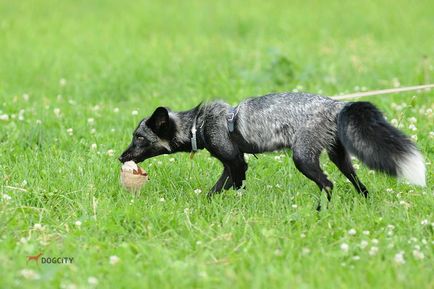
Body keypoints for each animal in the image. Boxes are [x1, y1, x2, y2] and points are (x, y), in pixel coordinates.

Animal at [119, 91, 428, 206]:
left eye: (139, 138)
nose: (120, 157)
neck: (200, 124)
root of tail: (336, 105)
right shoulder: (232, 162)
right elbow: (215, 189)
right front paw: (207, 204)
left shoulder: (237, 162)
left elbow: (235, 187)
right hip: (339, 157)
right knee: (357, 182)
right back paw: (363, 203)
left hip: (303, 158)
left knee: (328, 184)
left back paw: (322, 210)